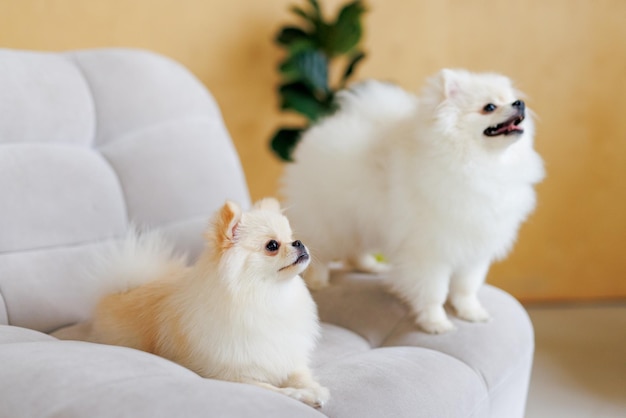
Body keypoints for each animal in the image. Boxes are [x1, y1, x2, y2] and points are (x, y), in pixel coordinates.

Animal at [54, 199, 330, 408]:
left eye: (292, 237)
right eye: (272, 245)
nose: (299, 243)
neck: (267, 296)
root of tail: (120, 290)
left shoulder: (286, 355)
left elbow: (299, 374)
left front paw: (314, 389)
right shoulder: (232, 375)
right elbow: (274, 389)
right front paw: (302, 395)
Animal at [280, 70, 544, 334]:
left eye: (511, 99)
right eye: (489, 107)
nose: (519, 103)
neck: (477, 163)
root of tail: (328, 126)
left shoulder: (474, 248)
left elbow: (466, 288)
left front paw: (471, 312)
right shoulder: (429, 252)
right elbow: (434, 292)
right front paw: (436, 323)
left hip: (360, 218)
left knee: (355, 250)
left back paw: (369, 266)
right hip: (329, 220)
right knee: (321, 248)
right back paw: (318, 280)